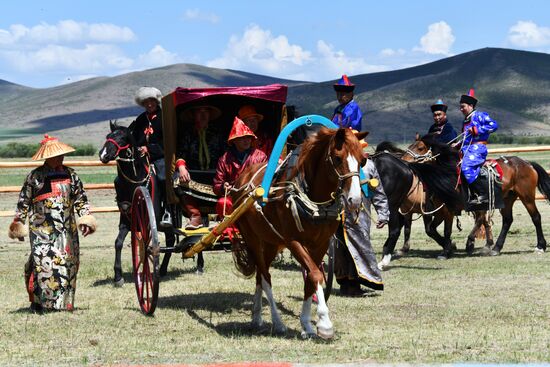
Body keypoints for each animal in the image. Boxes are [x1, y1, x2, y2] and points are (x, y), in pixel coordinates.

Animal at [232, 128, 366, 340]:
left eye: (363, 160)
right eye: (337, 158)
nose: (354, 200)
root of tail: (243, 176)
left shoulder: (320, 244)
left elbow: (310, 279)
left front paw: (307, 324)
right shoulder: (293, 241)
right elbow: (316, 275)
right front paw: (324, 323)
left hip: (270, 241)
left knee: (260, 275)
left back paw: (257, 317)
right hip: (251, 238)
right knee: (265, 276)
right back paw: (277, 322)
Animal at [410, 135, 550, 256]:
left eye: (420, 148)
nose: (406, 160)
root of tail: (528, 163)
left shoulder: (452, 209)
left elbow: (452, 228)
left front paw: (458, 247)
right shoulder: (441, 210)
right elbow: (431, 229)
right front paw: (450, 246)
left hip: (527, 197)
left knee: (535, 217)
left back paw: (540, 246)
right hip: (507, 198)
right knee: (507, 220)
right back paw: (496, 248)